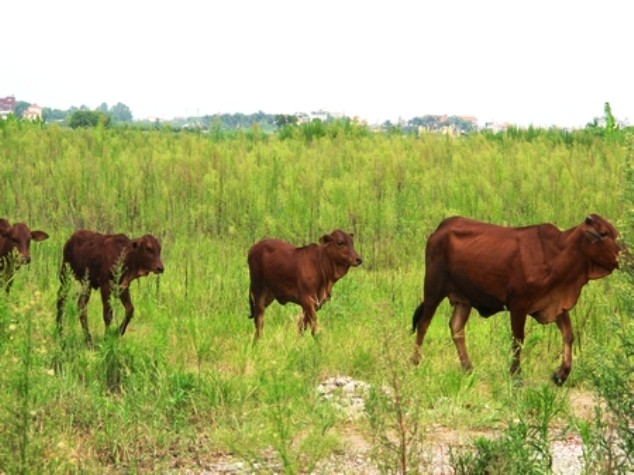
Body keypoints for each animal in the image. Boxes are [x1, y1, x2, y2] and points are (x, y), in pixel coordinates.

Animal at [410, 214, 616, 384]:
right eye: (604, 234)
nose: (623, 256)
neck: (556, 254)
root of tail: (441, 227)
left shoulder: (555, 304)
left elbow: (568, 334)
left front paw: (561, 374)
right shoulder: (518, 304)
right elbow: (518, 340)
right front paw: (516, 376)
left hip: (463, 300)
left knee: (456, 328)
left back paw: (468, 368)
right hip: (433, 288)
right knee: (424, 323)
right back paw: (415, 362)